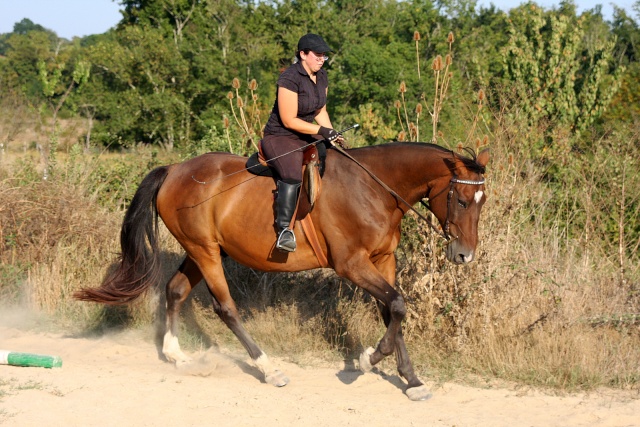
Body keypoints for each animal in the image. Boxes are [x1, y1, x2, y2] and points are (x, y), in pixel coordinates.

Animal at [77, 142, 490, 402]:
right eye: (461, 200)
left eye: (482, 202)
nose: (465, 255)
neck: (375, 188)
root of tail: (175, 169)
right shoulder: (352, 264)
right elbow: (398, 306)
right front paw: (367, 359)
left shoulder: (382, 259)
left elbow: (393, 310)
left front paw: (412, 380)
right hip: (205, 251)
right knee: (226, 308)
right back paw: (268, 368)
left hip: (202, 249)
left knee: (176, 290)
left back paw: (176, 354)